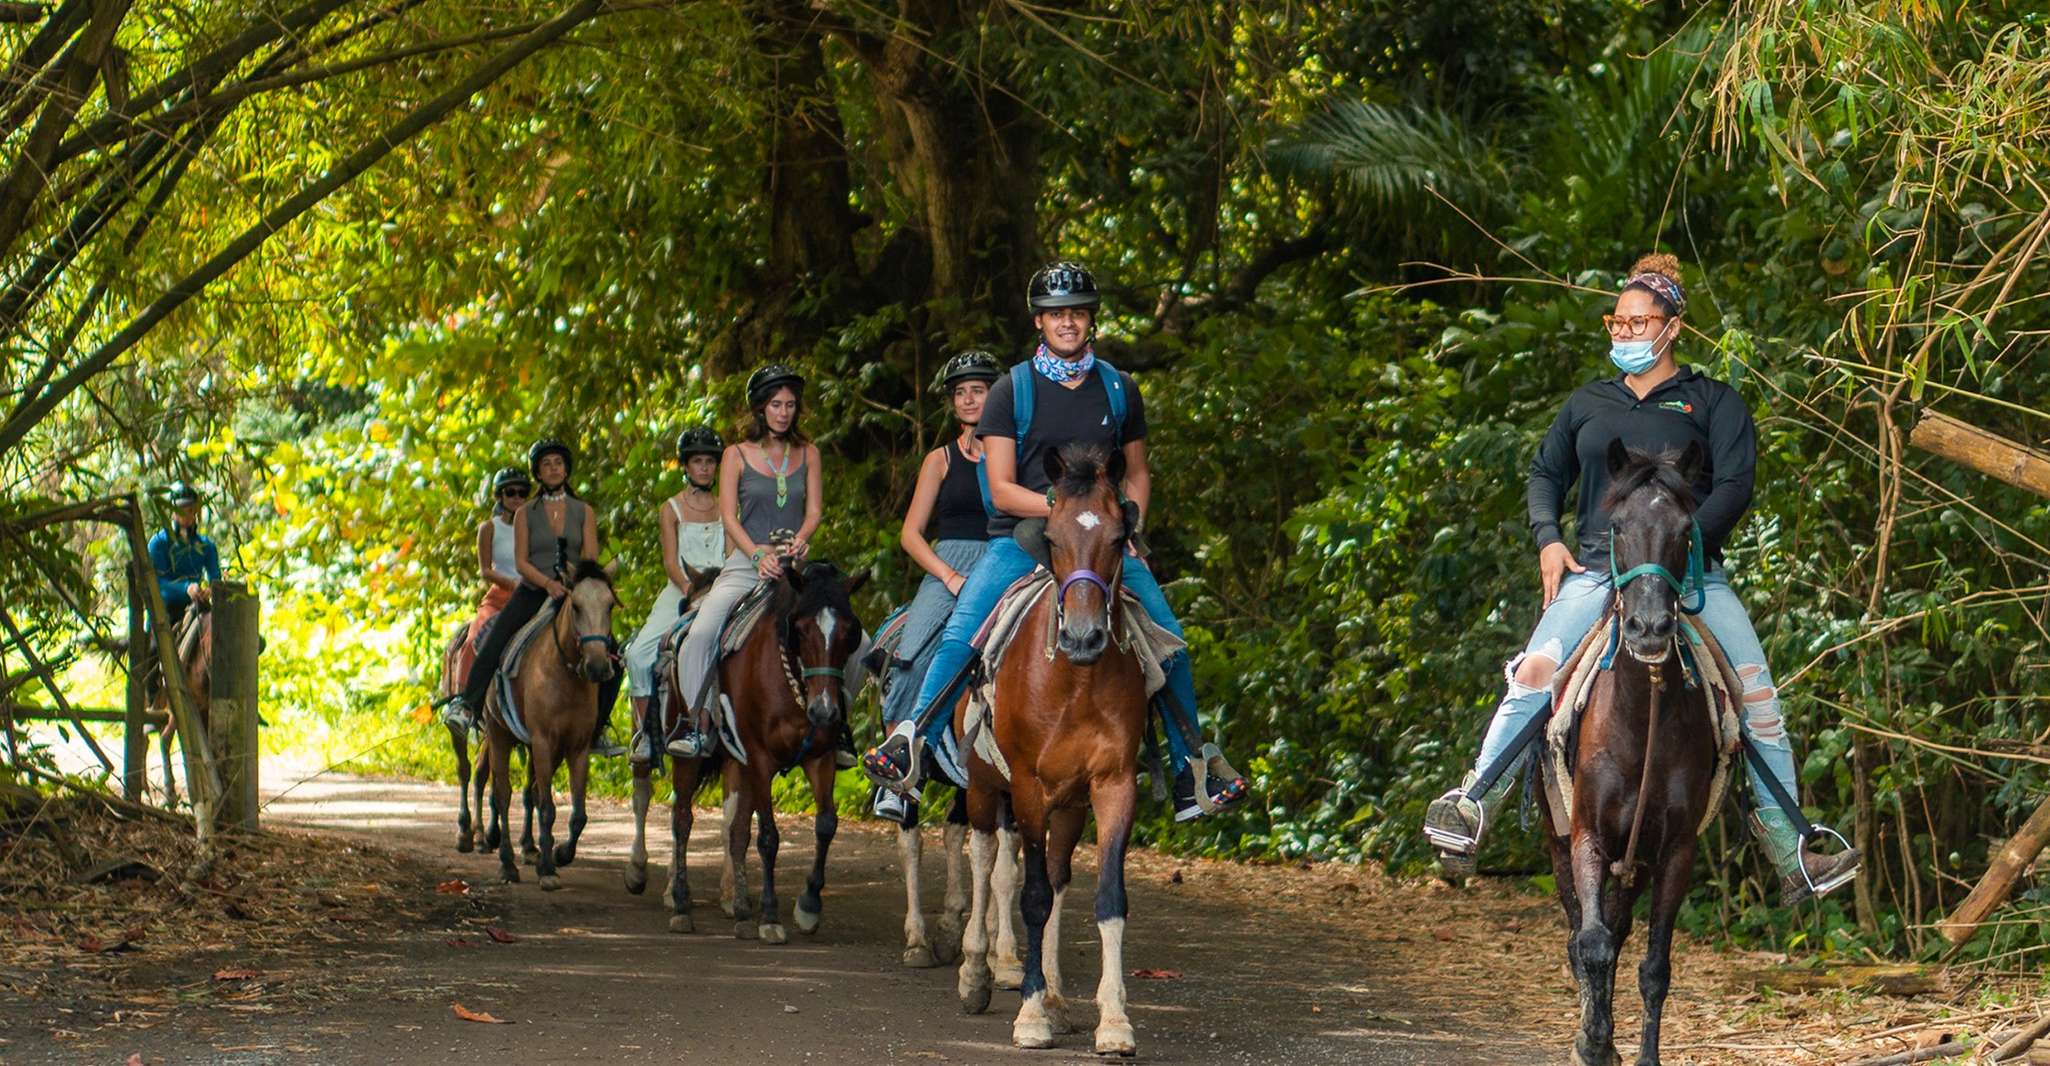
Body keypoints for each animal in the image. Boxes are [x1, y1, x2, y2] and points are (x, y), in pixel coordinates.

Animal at [485, 561, 615, 893]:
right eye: (577, 606)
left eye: (610, 605)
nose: (597, 667)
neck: (565, 675)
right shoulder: (543, 742)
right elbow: (547, 808)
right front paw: (547, 869)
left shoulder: (577, 747)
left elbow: (579, 814)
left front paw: (560, 853)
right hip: (499, 734)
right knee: (503, 795)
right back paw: (507, 863)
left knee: (528, 792)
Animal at [615, 557, 856, 943]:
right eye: (801, 629)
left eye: (850, 632)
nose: (825, 711)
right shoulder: (758, 758)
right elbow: (767, 836)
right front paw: (769, 916)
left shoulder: (819, 757)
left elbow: (822, 825)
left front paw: (806, 905)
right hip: (683, 756)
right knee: (679, 818)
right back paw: (679, 903)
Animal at [959, 442, 1156, 1057]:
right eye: (1052, 538)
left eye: (1119, 539)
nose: (1085, 637)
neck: (1076, 681)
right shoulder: (1026, 786)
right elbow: (1031, 897)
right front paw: (1028, 1016)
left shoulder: (1114, 784)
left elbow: (1106, 899)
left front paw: (1112, 1021)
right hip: (983, 787)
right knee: (985, 862)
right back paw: (975, 974)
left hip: (1067, 806)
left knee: (1056, 872)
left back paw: (1053, 995)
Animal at [1541, 440, 1722, 1066]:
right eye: (1617, 526)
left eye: (1686, 530)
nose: (1648, 627)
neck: (1641, 716)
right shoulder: (1587, 834)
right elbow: (1590, 942)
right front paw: (1592, 1041)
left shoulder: (1675, 850)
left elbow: (1653, 966)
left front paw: (1637, 1053)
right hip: (1558, 841)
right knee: (1581, 935)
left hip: (1636, 859)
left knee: (1619, 935)